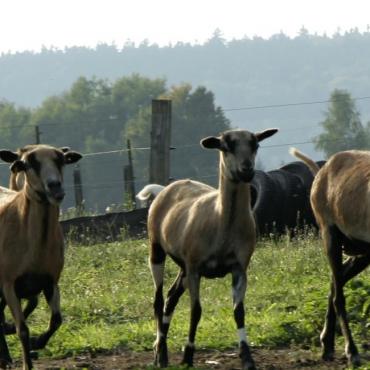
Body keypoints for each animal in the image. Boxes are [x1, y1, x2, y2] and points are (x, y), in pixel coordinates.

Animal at [0, 143, 81, 368]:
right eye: (27, 164)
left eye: (61, 160)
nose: (55, 187)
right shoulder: (8, 284)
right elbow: (23, 329)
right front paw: (27, 362)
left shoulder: (50, 281)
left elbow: (57, 320)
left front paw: (38, 342)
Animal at [147, 128, 278, 370]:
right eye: (226, 146)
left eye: (255, 145)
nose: (247, 170)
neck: (221, 222)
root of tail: (166, 188)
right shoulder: (196, 268)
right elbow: (196, 311)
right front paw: (188, 356)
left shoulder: (239, 268)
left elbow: (239, 311)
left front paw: (247, 358)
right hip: (157, 249)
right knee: (159, 300)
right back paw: (160, 352)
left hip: (183, 266)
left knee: (170, 297)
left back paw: (163, 354)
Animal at [292, 147, 370, 368]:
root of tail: (322, 170)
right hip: (330, 236)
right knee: (338, 295)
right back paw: (351, 351)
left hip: (362, 250)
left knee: (336, 282)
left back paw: (327, 343)